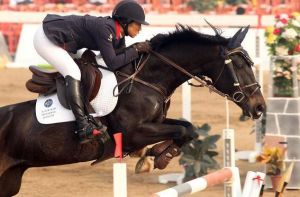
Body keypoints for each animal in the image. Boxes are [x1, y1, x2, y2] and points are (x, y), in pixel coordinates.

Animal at [0, 24, 266, 195]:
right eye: (239, 64)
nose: (260, 107)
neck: (146, 80)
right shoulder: (132, 134)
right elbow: (180, 131)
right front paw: (156, 156)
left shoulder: (156, 122)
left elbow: (187, 128)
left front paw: (157, 155)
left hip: (10, 181)